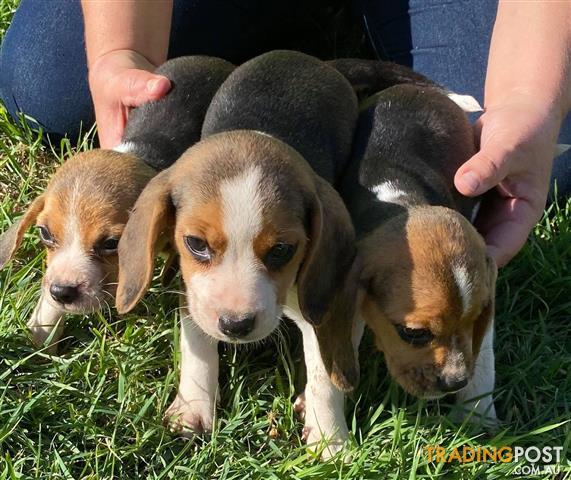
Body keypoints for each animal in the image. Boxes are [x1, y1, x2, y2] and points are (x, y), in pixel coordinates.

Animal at [116, 50, 362, 460]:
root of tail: (301, 56)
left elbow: (324, 379)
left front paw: (331, 440)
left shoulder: (316, 304)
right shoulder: (193, 293)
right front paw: (193, 408)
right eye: (196, 244)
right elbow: (198, 349)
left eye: (282, 250)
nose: (235, 326)